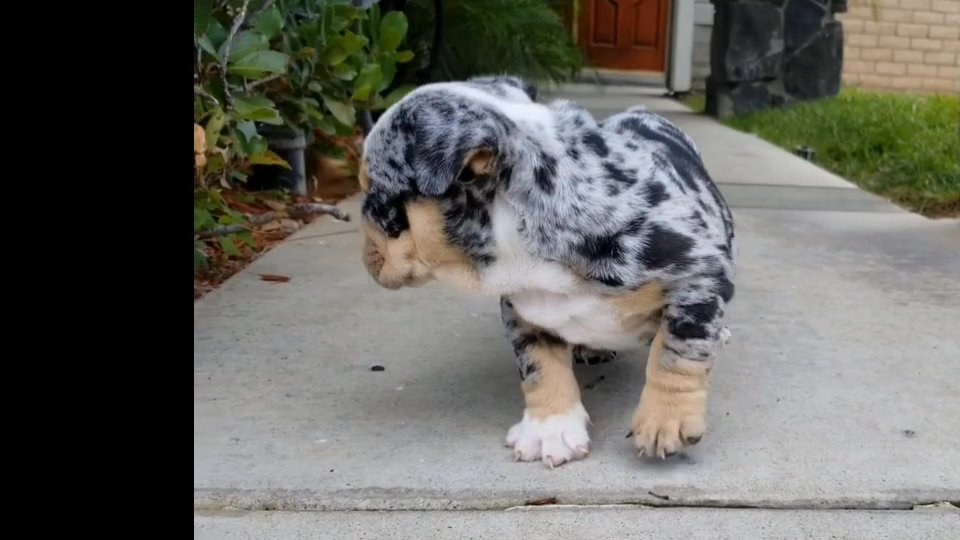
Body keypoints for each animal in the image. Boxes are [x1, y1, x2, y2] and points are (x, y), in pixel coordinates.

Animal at [358, 75, 736, 468]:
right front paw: (549, 428)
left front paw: (665, 419)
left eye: (373, 193)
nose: (365, 252)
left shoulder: (699, 275)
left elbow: (678, 349)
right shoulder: (524, 312)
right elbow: (539, 366)